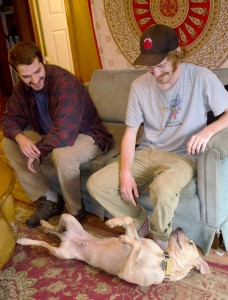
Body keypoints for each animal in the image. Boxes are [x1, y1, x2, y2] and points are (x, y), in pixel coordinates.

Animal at [16, 213, 211, 286]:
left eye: (191, 243)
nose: (180, 228)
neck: (163, 260)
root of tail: (67, 239)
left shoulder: (126, 273)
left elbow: (135, 244)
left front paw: (123, 238)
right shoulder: (138, 237)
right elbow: (130, 221)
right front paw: (113, 222)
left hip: (62, 253)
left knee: (45, 244)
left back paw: (24, 239)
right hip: (67, 217)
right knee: (56, 228)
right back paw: (44, 224)